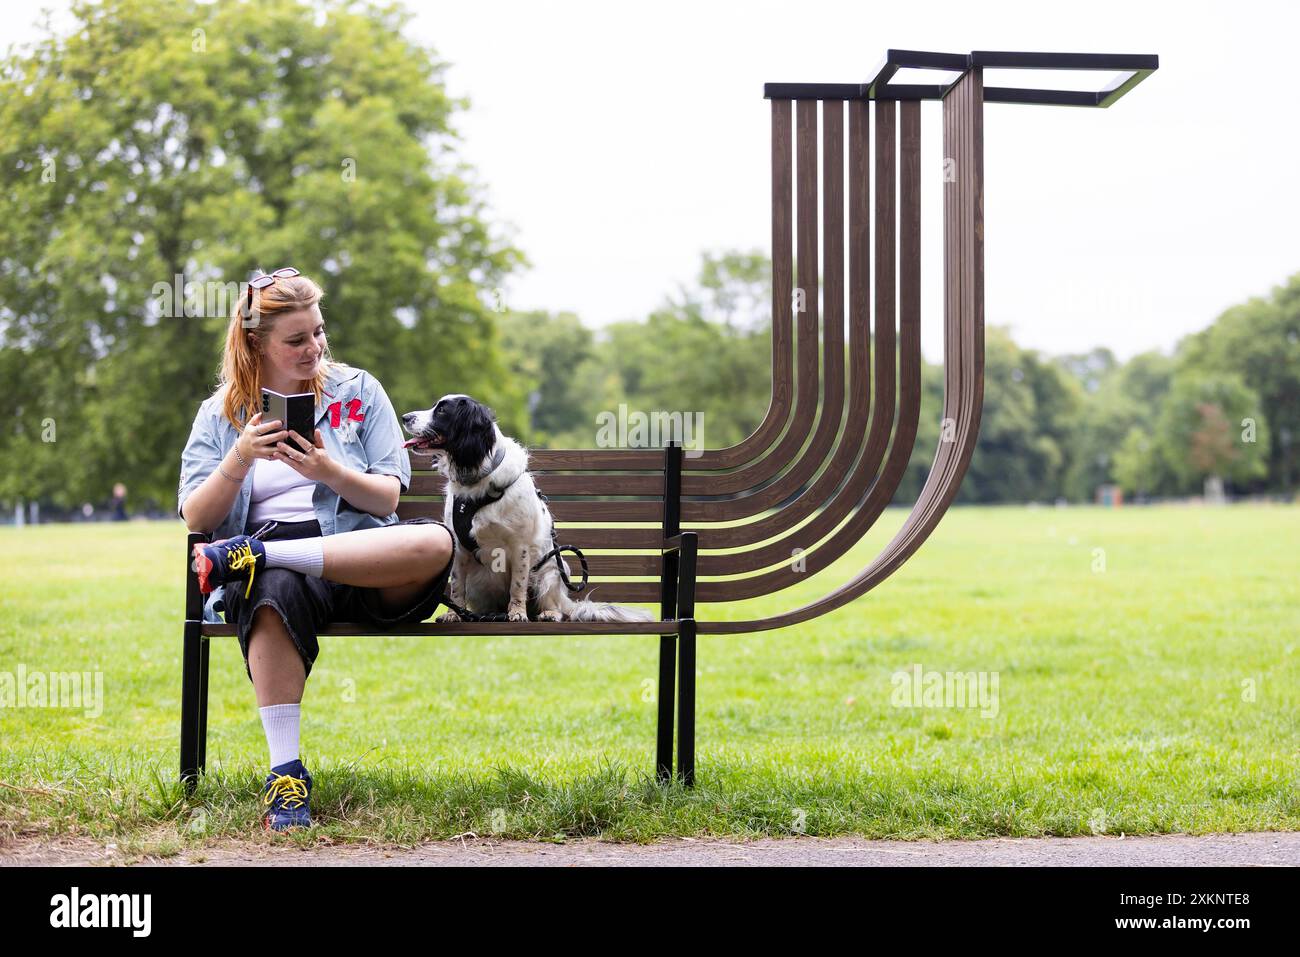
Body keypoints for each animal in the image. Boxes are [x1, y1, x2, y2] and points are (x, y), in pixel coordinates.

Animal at [400, 395, 655, 624]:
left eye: (442, 410)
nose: (405, 417)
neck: (479, 480)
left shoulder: (520, 547)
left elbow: (517, 586)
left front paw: (517, 613)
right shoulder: (460, 549)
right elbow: (456, 588)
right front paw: (453, 615)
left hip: (551, 571)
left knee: (555, 605)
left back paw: (547, 613)